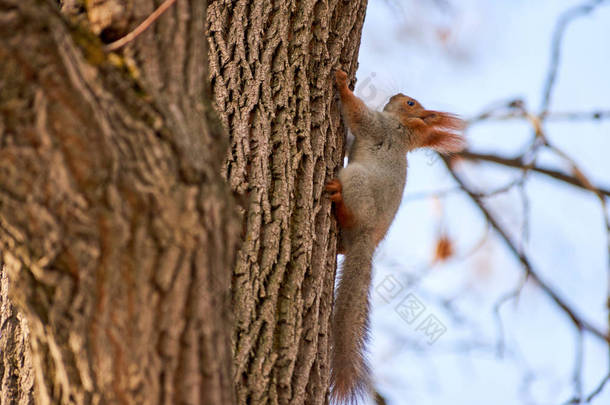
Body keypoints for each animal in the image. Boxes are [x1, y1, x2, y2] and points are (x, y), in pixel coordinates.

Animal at [326, 69, 464, 400]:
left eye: (411, 103)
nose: (398, 95)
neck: (404, 133)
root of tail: (365, 241)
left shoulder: (379, 126)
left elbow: (357, 113)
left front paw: (341, 83)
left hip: (357, 181)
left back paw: (338, 200)